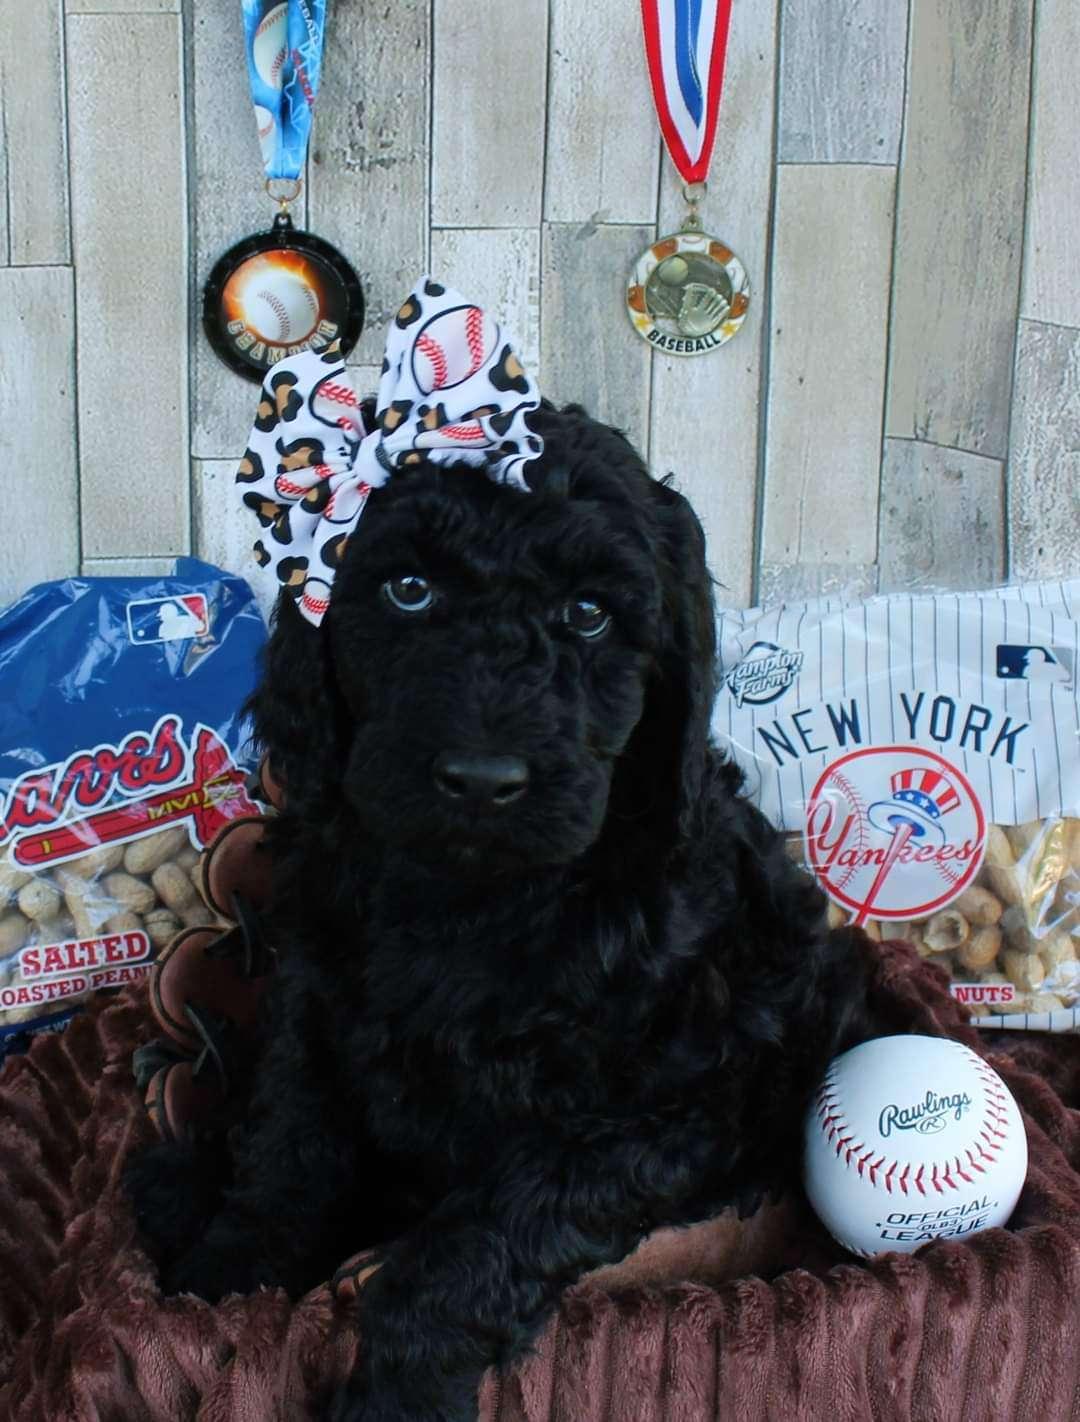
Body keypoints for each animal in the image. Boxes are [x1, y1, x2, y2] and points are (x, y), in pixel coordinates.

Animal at [125, 401, 877, 1422]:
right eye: (407, 590)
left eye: (590, 614)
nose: (482, 780)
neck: (475, 898)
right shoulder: (314, 994)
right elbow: (289, 1143)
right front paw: (223, 1279)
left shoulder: (670, 1111)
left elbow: (490, 1231)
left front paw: (397, 1393)